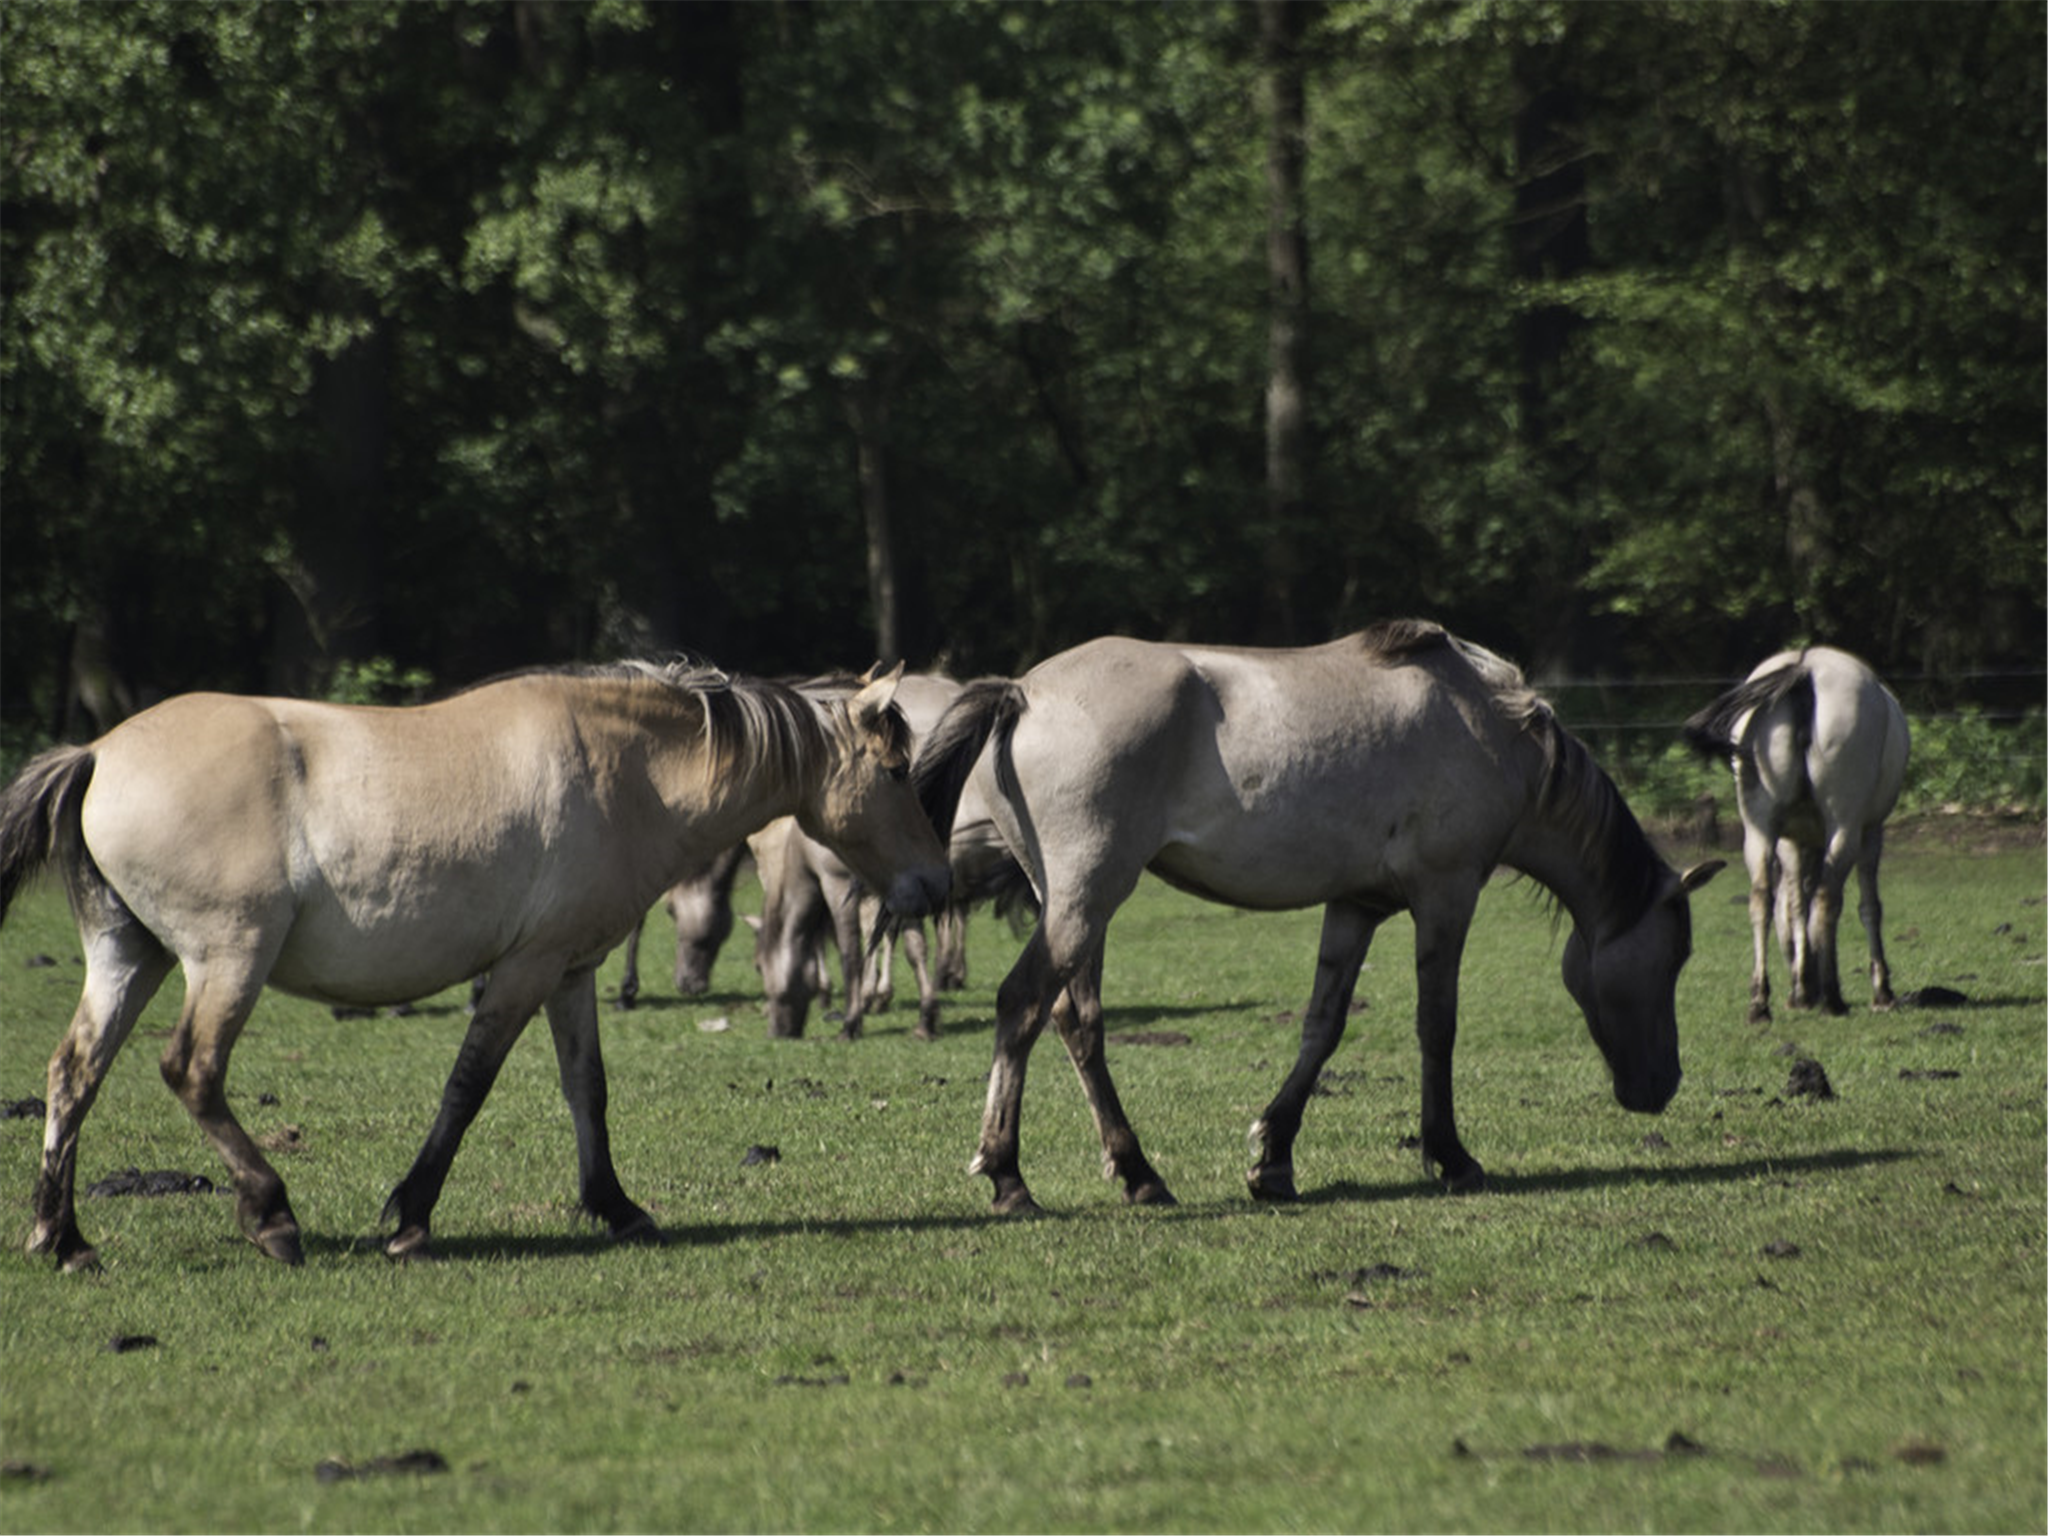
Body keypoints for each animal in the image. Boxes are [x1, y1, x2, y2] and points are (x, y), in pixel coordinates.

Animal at [0, 663, 958, 1277]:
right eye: (897, 771)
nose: (935, 883)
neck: (630, 771)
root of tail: (99, 754)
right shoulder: (525, 970)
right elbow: (468, 1086)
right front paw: (412, 1218)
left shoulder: (572, 970)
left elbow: (587, 1089)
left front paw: (617, 1207)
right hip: (226, 959)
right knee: (190, 1070)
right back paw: (271, 1215)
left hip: (131, 956)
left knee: (73, 1074)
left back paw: (63, 1238)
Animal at [921, 622, 1720, 1212]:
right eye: (1673, 957)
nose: (1661, 1086)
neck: (1489, 724)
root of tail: (1024, 692)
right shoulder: (1447, 894)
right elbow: (1437, 1025)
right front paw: (1451, 1155)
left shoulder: (1356, 906)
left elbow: (1323, 1026)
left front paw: (1274, 1159)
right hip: (1087, 896)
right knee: (1023, 1005)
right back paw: (1008, 1176)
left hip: (1075, 905)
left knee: (1076, 1021)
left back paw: (1139, 1172)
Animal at [1687, 647, 1908, 1024]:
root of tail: (1806, 667)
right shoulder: (1871, 833)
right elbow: (1867, 906)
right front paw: (1881, 991)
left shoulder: (1791, 841)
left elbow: (1793, 906)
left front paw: (1801, 989)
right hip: (1845, 827)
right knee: (1827, 898)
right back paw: (1833, 998)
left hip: (1758, 830)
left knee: (1761, 898)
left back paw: (1760, 1003)